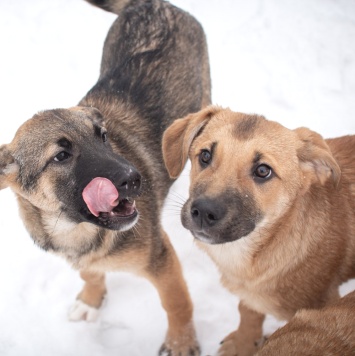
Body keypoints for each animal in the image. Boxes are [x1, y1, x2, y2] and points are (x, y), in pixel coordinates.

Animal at [0, 0, 211, 356]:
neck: (75, 229)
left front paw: (181, 343)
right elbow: (90, 274)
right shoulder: (78, 256)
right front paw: (91, 300)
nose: (136, 179)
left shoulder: (160, 257)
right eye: (61, 156)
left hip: (203, 91)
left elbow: (176, 302)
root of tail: (153, 5)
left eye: (102, 136)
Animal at [162, 105, 355, 356]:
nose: (203, 212)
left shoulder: (323, 301)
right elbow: (248, 311)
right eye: (205, 156)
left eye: (263, 170)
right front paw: (244, 342)